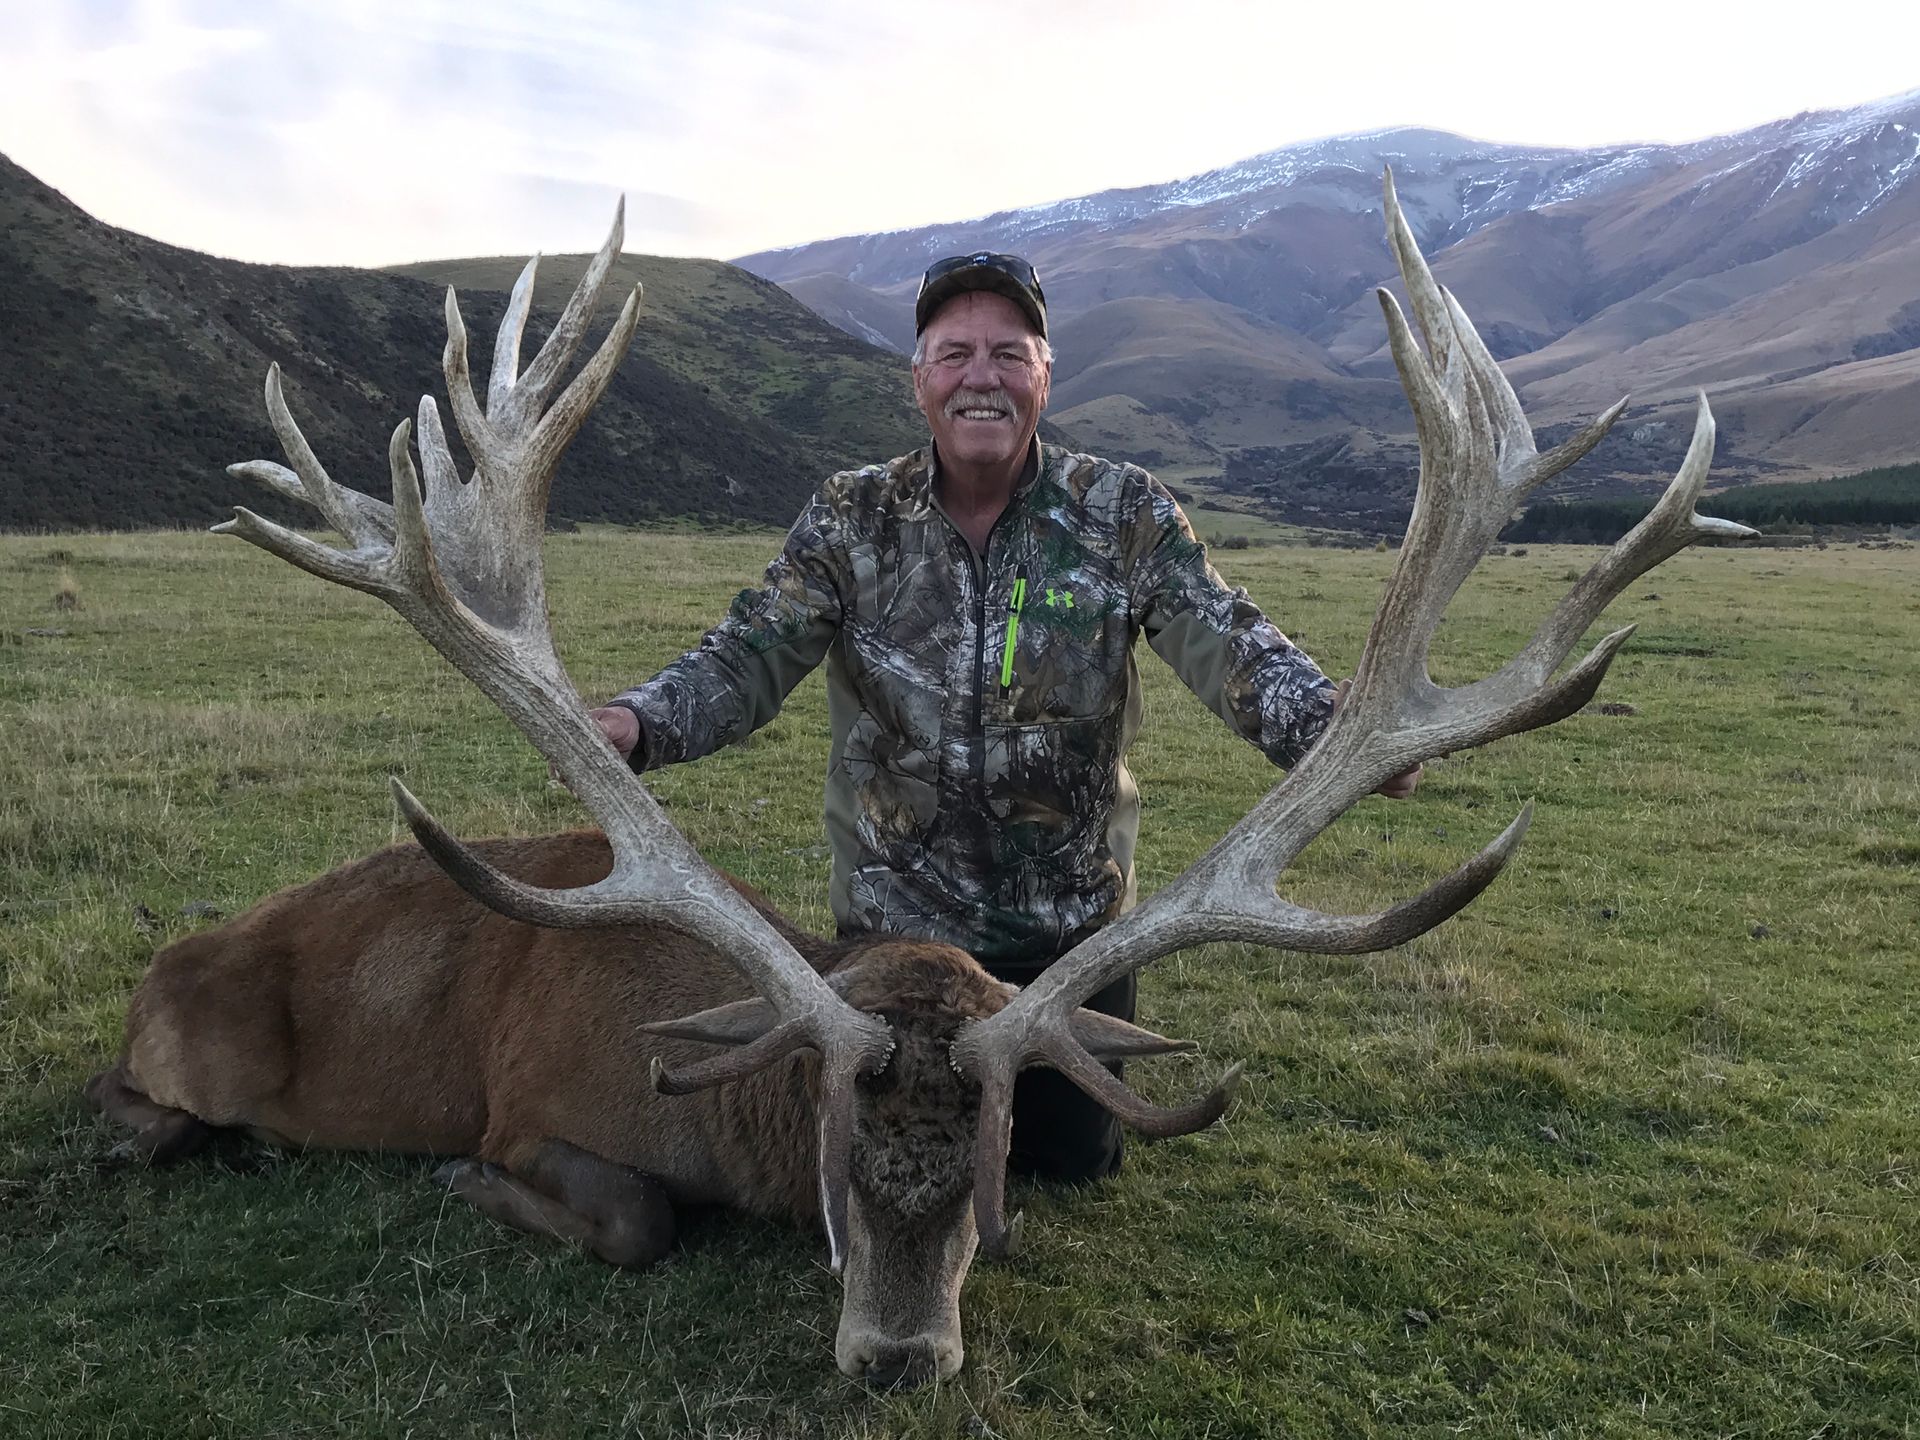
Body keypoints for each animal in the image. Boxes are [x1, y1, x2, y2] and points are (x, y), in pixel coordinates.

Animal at [88, 174, 1752, 1386]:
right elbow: (626, 1216)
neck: (732, 1122)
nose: (896, 1361)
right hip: (197, 1042)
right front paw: (465, 1192)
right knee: (139, 1102)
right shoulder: (537, 1112)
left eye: (988, 1182)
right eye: (837, 1157)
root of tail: (169, 963)